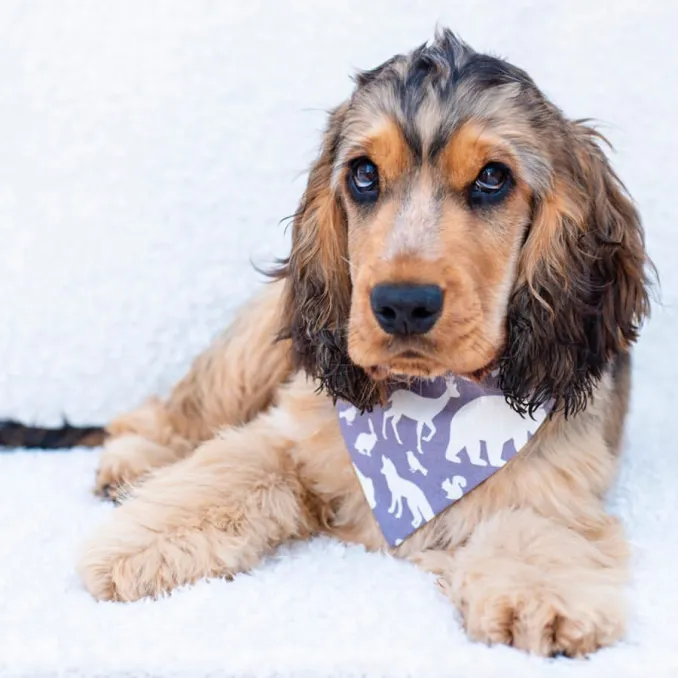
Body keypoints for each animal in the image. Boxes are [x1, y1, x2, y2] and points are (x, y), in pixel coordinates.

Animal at [78, 30, 652, 660]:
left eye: (493, 178)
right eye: (363, 173)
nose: (402, 304)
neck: (429, 398)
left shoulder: (558, 487)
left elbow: (536, 528)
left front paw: (539, 596)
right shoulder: (297, 430)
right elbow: (233, 465)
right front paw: (134, 547)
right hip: (255, 348)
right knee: (178, 411)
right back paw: (134, 460)